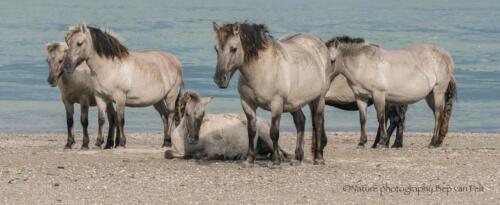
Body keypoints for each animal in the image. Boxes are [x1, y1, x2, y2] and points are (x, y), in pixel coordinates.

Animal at [212, 21, 332, 165]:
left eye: (233, 49)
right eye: (216, 49)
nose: (219, 79)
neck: (261, 69)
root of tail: (319, 43)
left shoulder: (276, 104)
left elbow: (274, 132)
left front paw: (275, 160)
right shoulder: (247, 103)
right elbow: (251, 131)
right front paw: (249, 159)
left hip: (319, 98)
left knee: (317, 122)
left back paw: (319, 158)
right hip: (294, 103)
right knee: (300, 121)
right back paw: (298, 157)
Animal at [326, 35, 456, 147]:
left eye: (331, 60)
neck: (364, 64)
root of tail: (446, 55)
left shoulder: (378, 94)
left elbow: (381, 117)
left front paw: (382, 141)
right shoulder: (360, 96)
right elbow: (362, 119)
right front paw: (361, 142)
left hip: (438, 91)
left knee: (438, 115)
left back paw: (433, 142)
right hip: (430, 95)